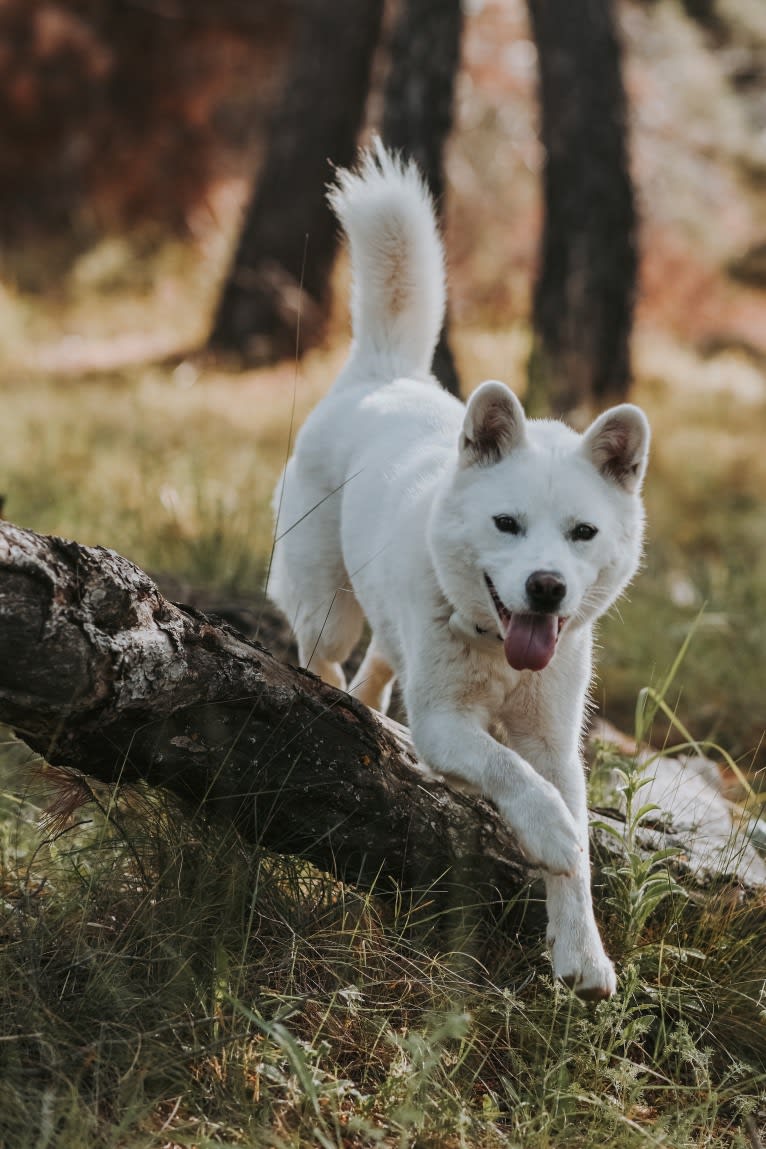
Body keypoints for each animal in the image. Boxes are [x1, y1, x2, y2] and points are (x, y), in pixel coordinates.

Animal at [269, 148, 647, 1001]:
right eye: (507, 524)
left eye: (582, 533)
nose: (546, 586)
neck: (501, 654)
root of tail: (383, 376)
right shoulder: (448, 724)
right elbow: (515, 778)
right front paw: (551, 833)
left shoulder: (555, 740)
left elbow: (567, 833)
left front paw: (582, 952)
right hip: (327, 604)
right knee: (325, 660)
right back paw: (340, 704)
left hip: (385, 619)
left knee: (379, 666)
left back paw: (374, 715)